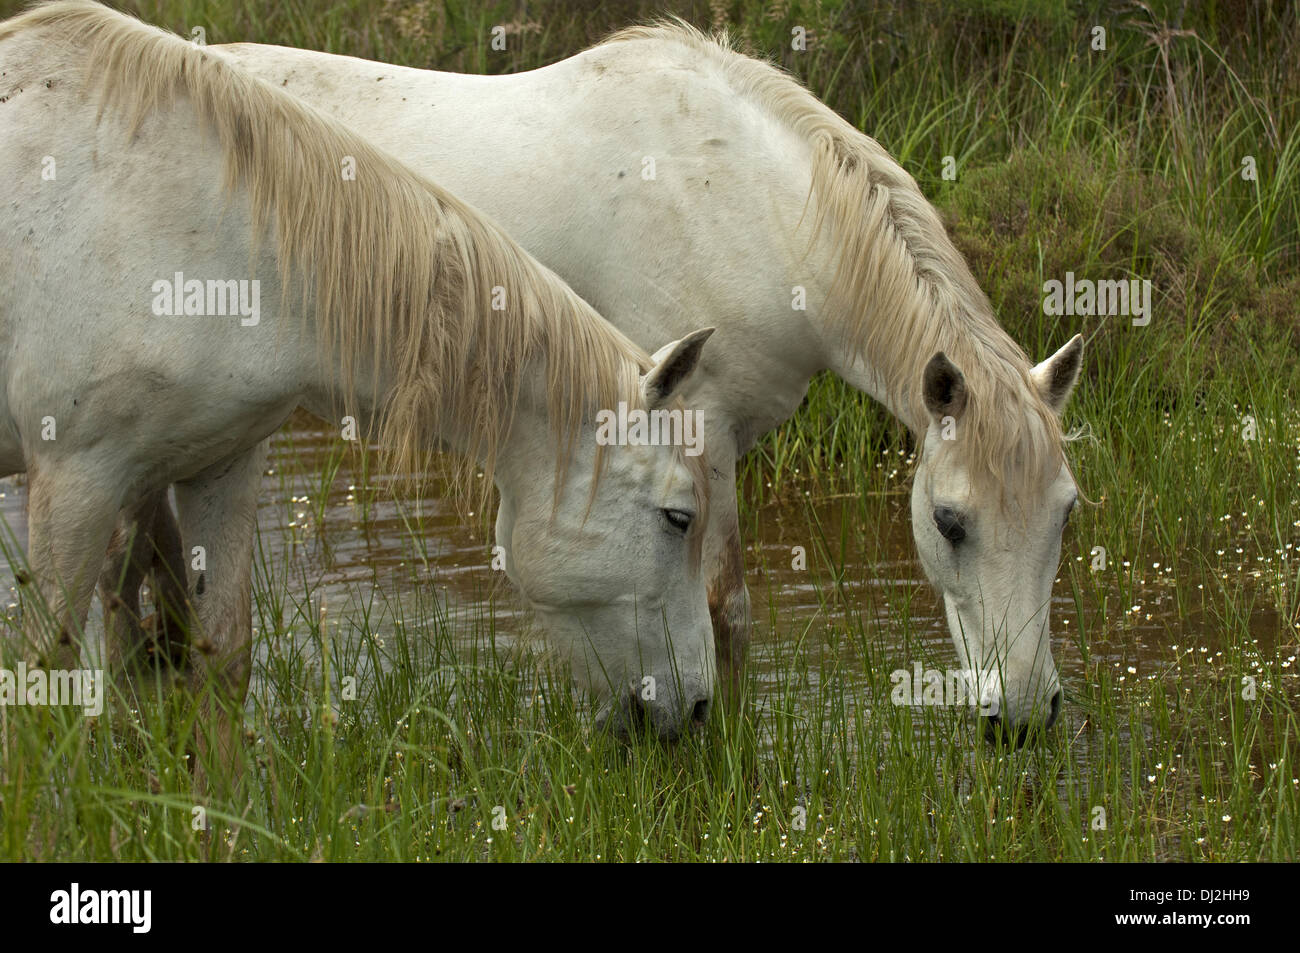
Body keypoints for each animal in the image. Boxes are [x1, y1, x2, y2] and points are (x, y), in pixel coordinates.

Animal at [0, 1, 712, 743]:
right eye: (679, 518)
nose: (697, 708)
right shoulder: (76, 479)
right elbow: (43, 681)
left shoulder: (219, 466)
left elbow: (222, 659)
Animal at [200, 16, 1086, 738]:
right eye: (949, 522)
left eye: (1066, 516)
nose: (1024, 715)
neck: (752, 206)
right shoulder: (700, 431)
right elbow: (725, 610)